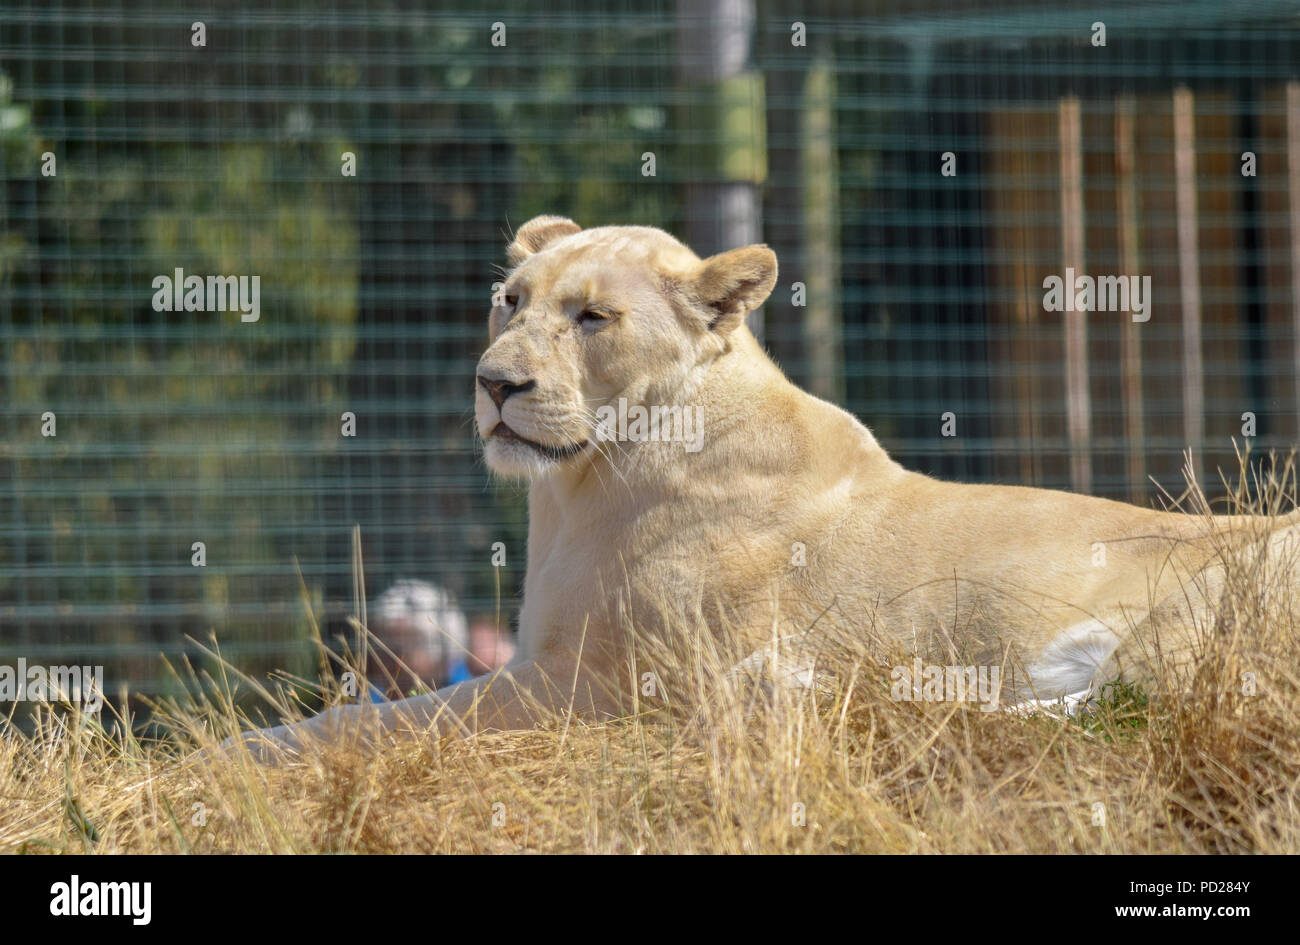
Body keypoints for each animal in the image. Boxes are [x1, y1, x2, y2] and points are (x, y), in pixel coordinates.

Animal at [225, 215, 1300, 756]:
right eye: (510, 300)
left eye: (593, 318)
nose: (495, 383)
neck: (579, 487)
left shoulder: (594, 687)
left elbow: (369, 720)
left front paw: (227, 755)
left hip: (1212, 602)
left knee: (1141, 708)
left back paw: (788, 686)